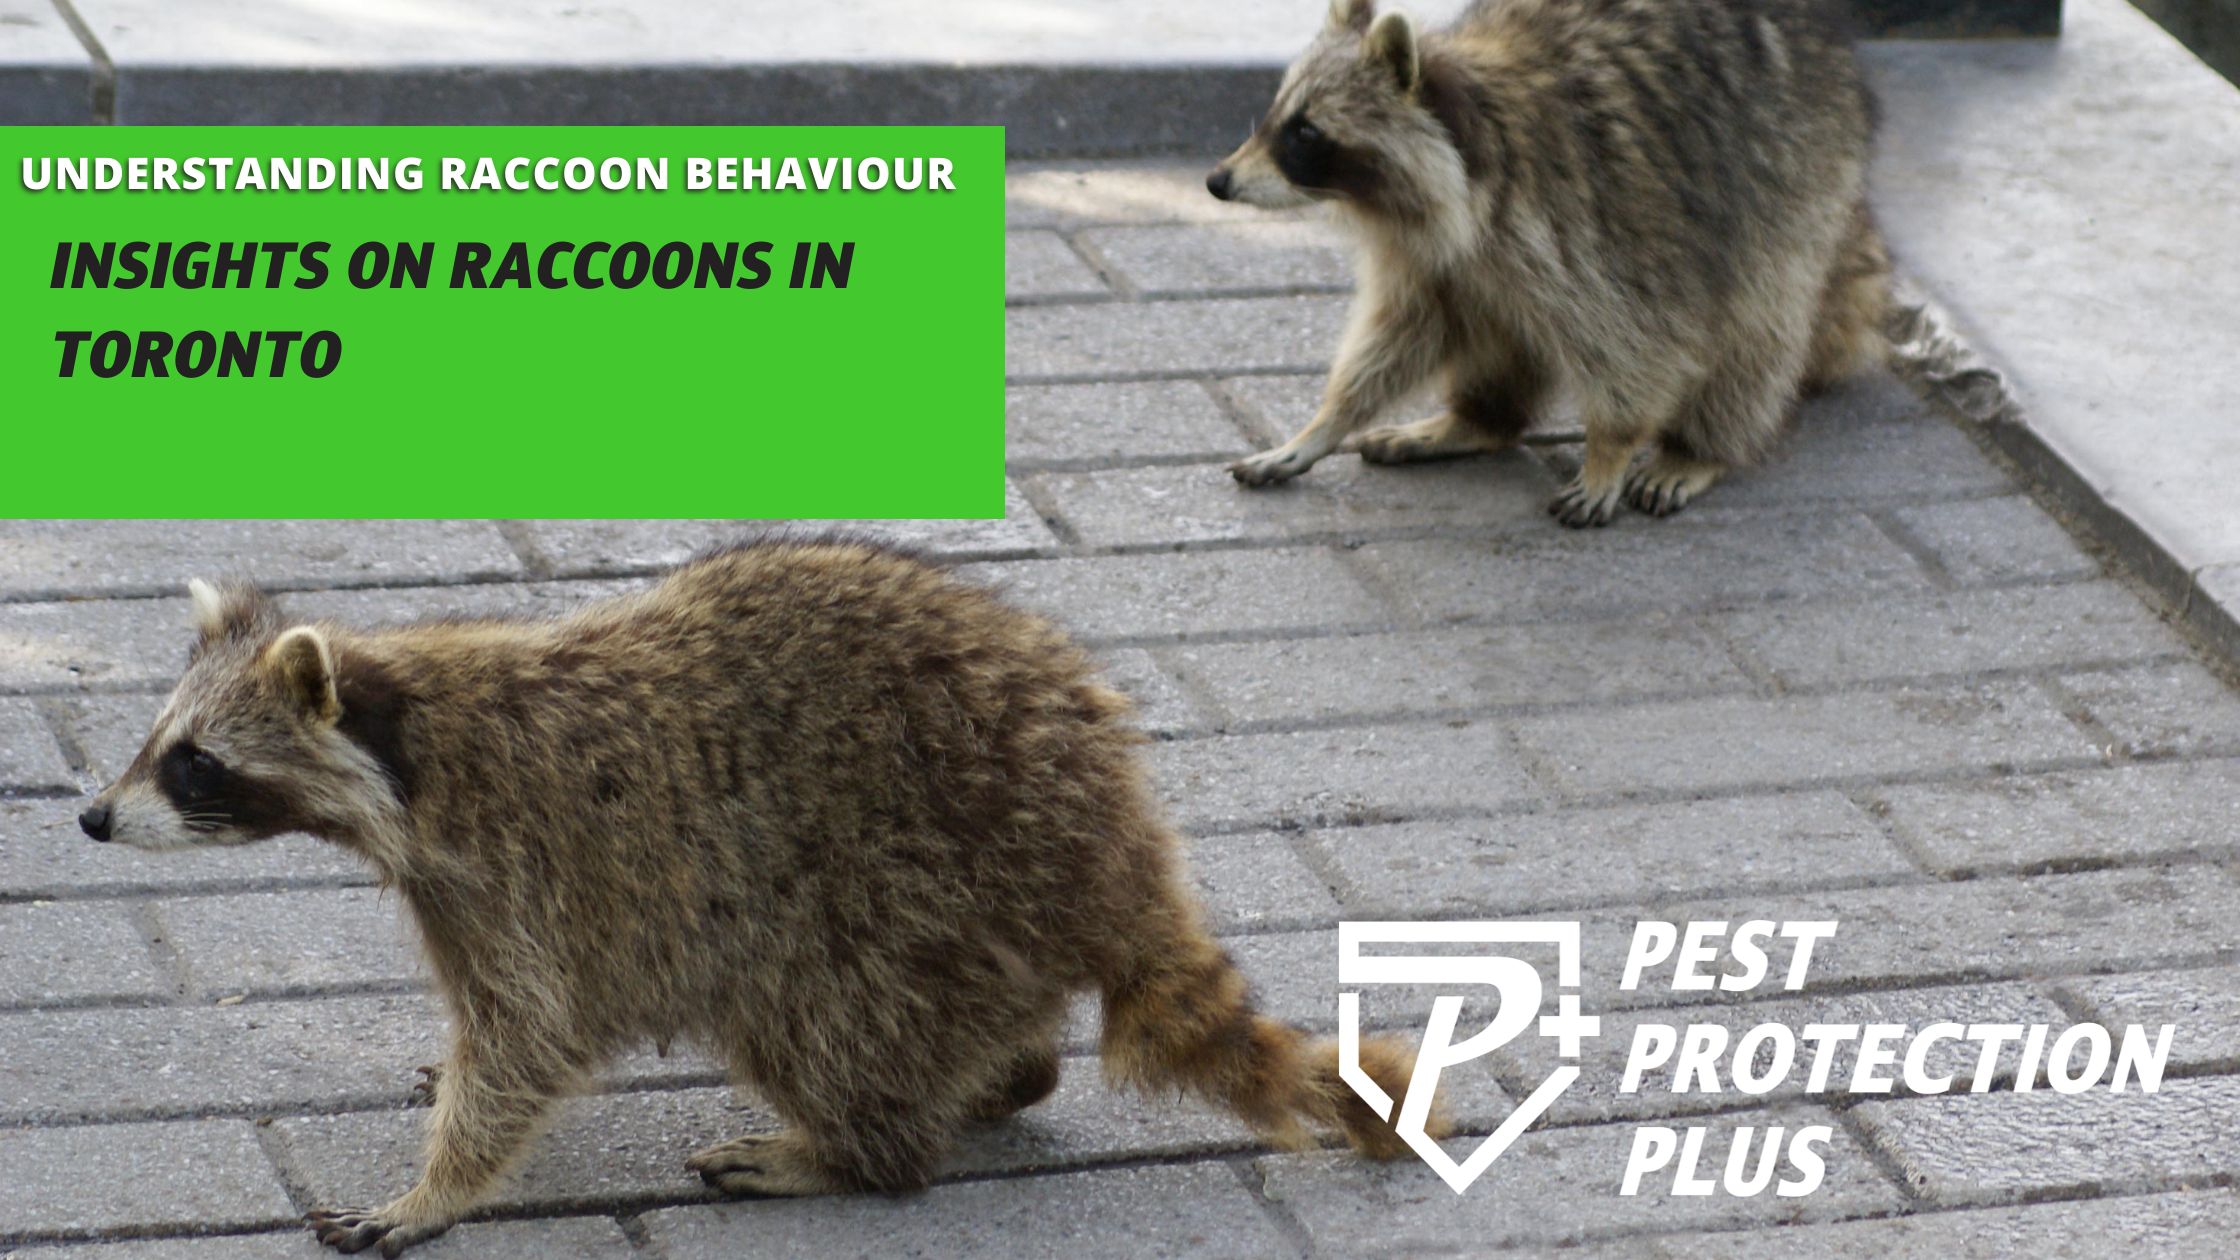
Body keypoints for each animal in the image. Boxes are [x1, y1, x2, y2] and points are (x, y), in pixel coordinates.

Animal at [77, 539, 1434, 1256]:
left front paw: (438, 1187)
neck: (406, 730)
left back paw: (848, 1149)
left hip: (919, 877)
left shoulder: (519, 863)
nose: (91, 817)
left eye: (194, 764)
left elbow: (528, 1036)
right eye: (152, 742)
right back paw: (998, 1075)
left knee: (813, 1014)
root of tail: (1116, 841)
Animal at [1209, 0, 1890, 525]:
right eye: (1276, 116)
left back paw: (1703, 445)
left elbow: (1642, 339)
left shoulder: (1595, 217)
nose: (1217, 182)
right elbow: (1402, 333)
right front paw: (1325, 422)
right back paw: (1478, 419)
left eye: (1305, 133)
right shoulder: (1434, 255)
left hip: (1797, 176)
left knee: (1759, 323)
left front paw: (1611, 448)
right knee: (1493, 325)